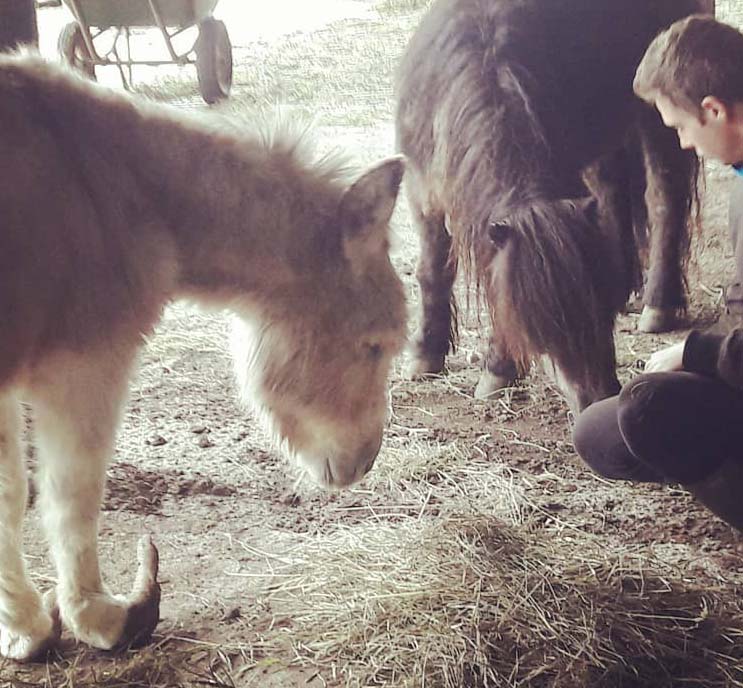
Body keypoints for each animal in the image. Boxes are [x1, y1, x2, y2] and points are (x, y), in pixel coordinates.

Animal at [0, 51, 406, 664]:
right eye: (375, 345)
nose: (366, 463)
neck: (121, 185)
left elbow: (10, 499)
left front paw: (22, 628)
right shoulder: (86, 365)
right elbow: (70, 493)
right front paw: (97, 620)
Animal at [398, 0, 712, 412]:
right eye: (548, 323)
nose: (601, 397)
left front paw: (497, 370)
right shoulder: (423, 193)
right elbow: (432, 272)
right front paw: (425, 354)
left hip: (660, 116)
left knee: (663, 198)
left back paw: (658, 304)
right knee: (613, 191)